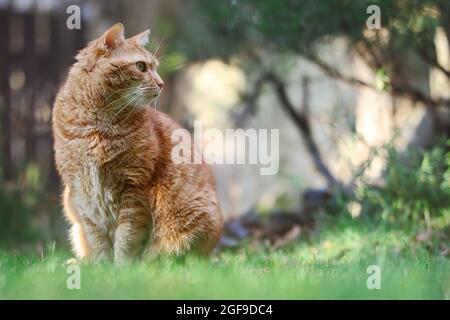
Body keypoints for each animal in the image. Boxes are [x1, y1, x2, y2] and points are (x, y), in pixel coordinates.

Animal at [52, 21, 223, 262]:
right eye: (141, 66)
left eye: (155, 67)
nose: (161, 83)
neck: (96, 125)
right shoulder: (81, 193)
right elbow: (97, 239)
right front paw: (101, 267)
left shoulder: (134, 188)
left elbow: (127, 238)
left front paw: (123, 267)